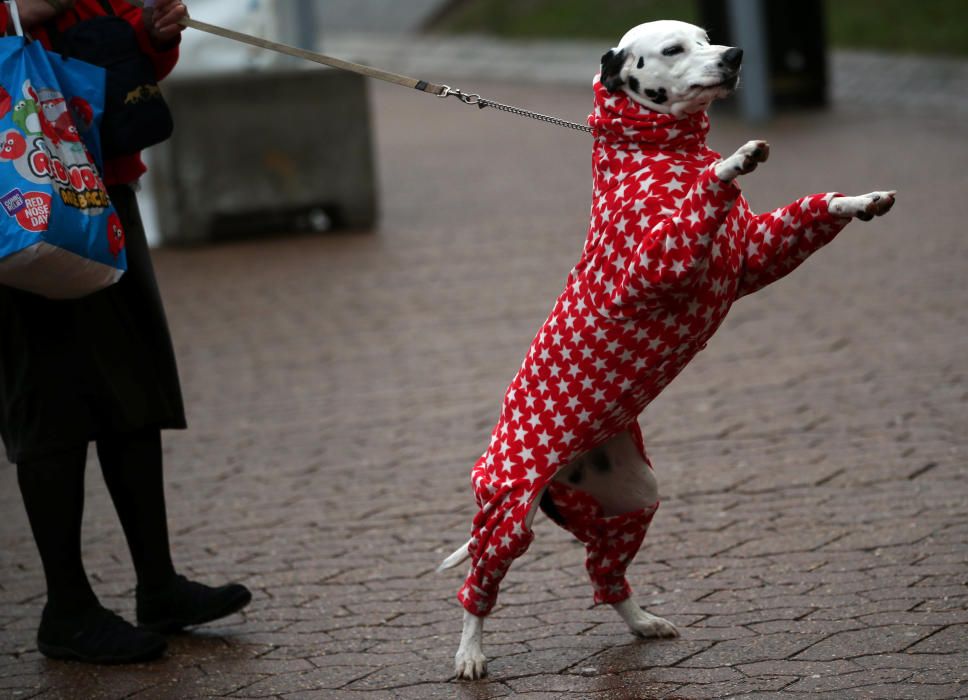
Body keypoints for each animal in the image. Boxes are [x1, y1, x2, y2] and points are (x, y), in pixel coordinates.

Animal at [442, 19, 896, 680]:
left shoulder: (757, 256)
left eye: (707, 37)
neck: (660, 157)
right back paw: (470, 652)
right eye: (674, 49)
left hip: (629, 498)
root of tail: (553, 476)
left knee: (605, 575)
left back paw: (642, 622)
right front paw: (733, 161)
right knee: (480, 583)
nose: (736, 54)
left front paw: (858, 202)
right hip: (507, 514)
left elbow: (808, 214)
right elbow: (707, 195)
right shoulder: (658, 268)